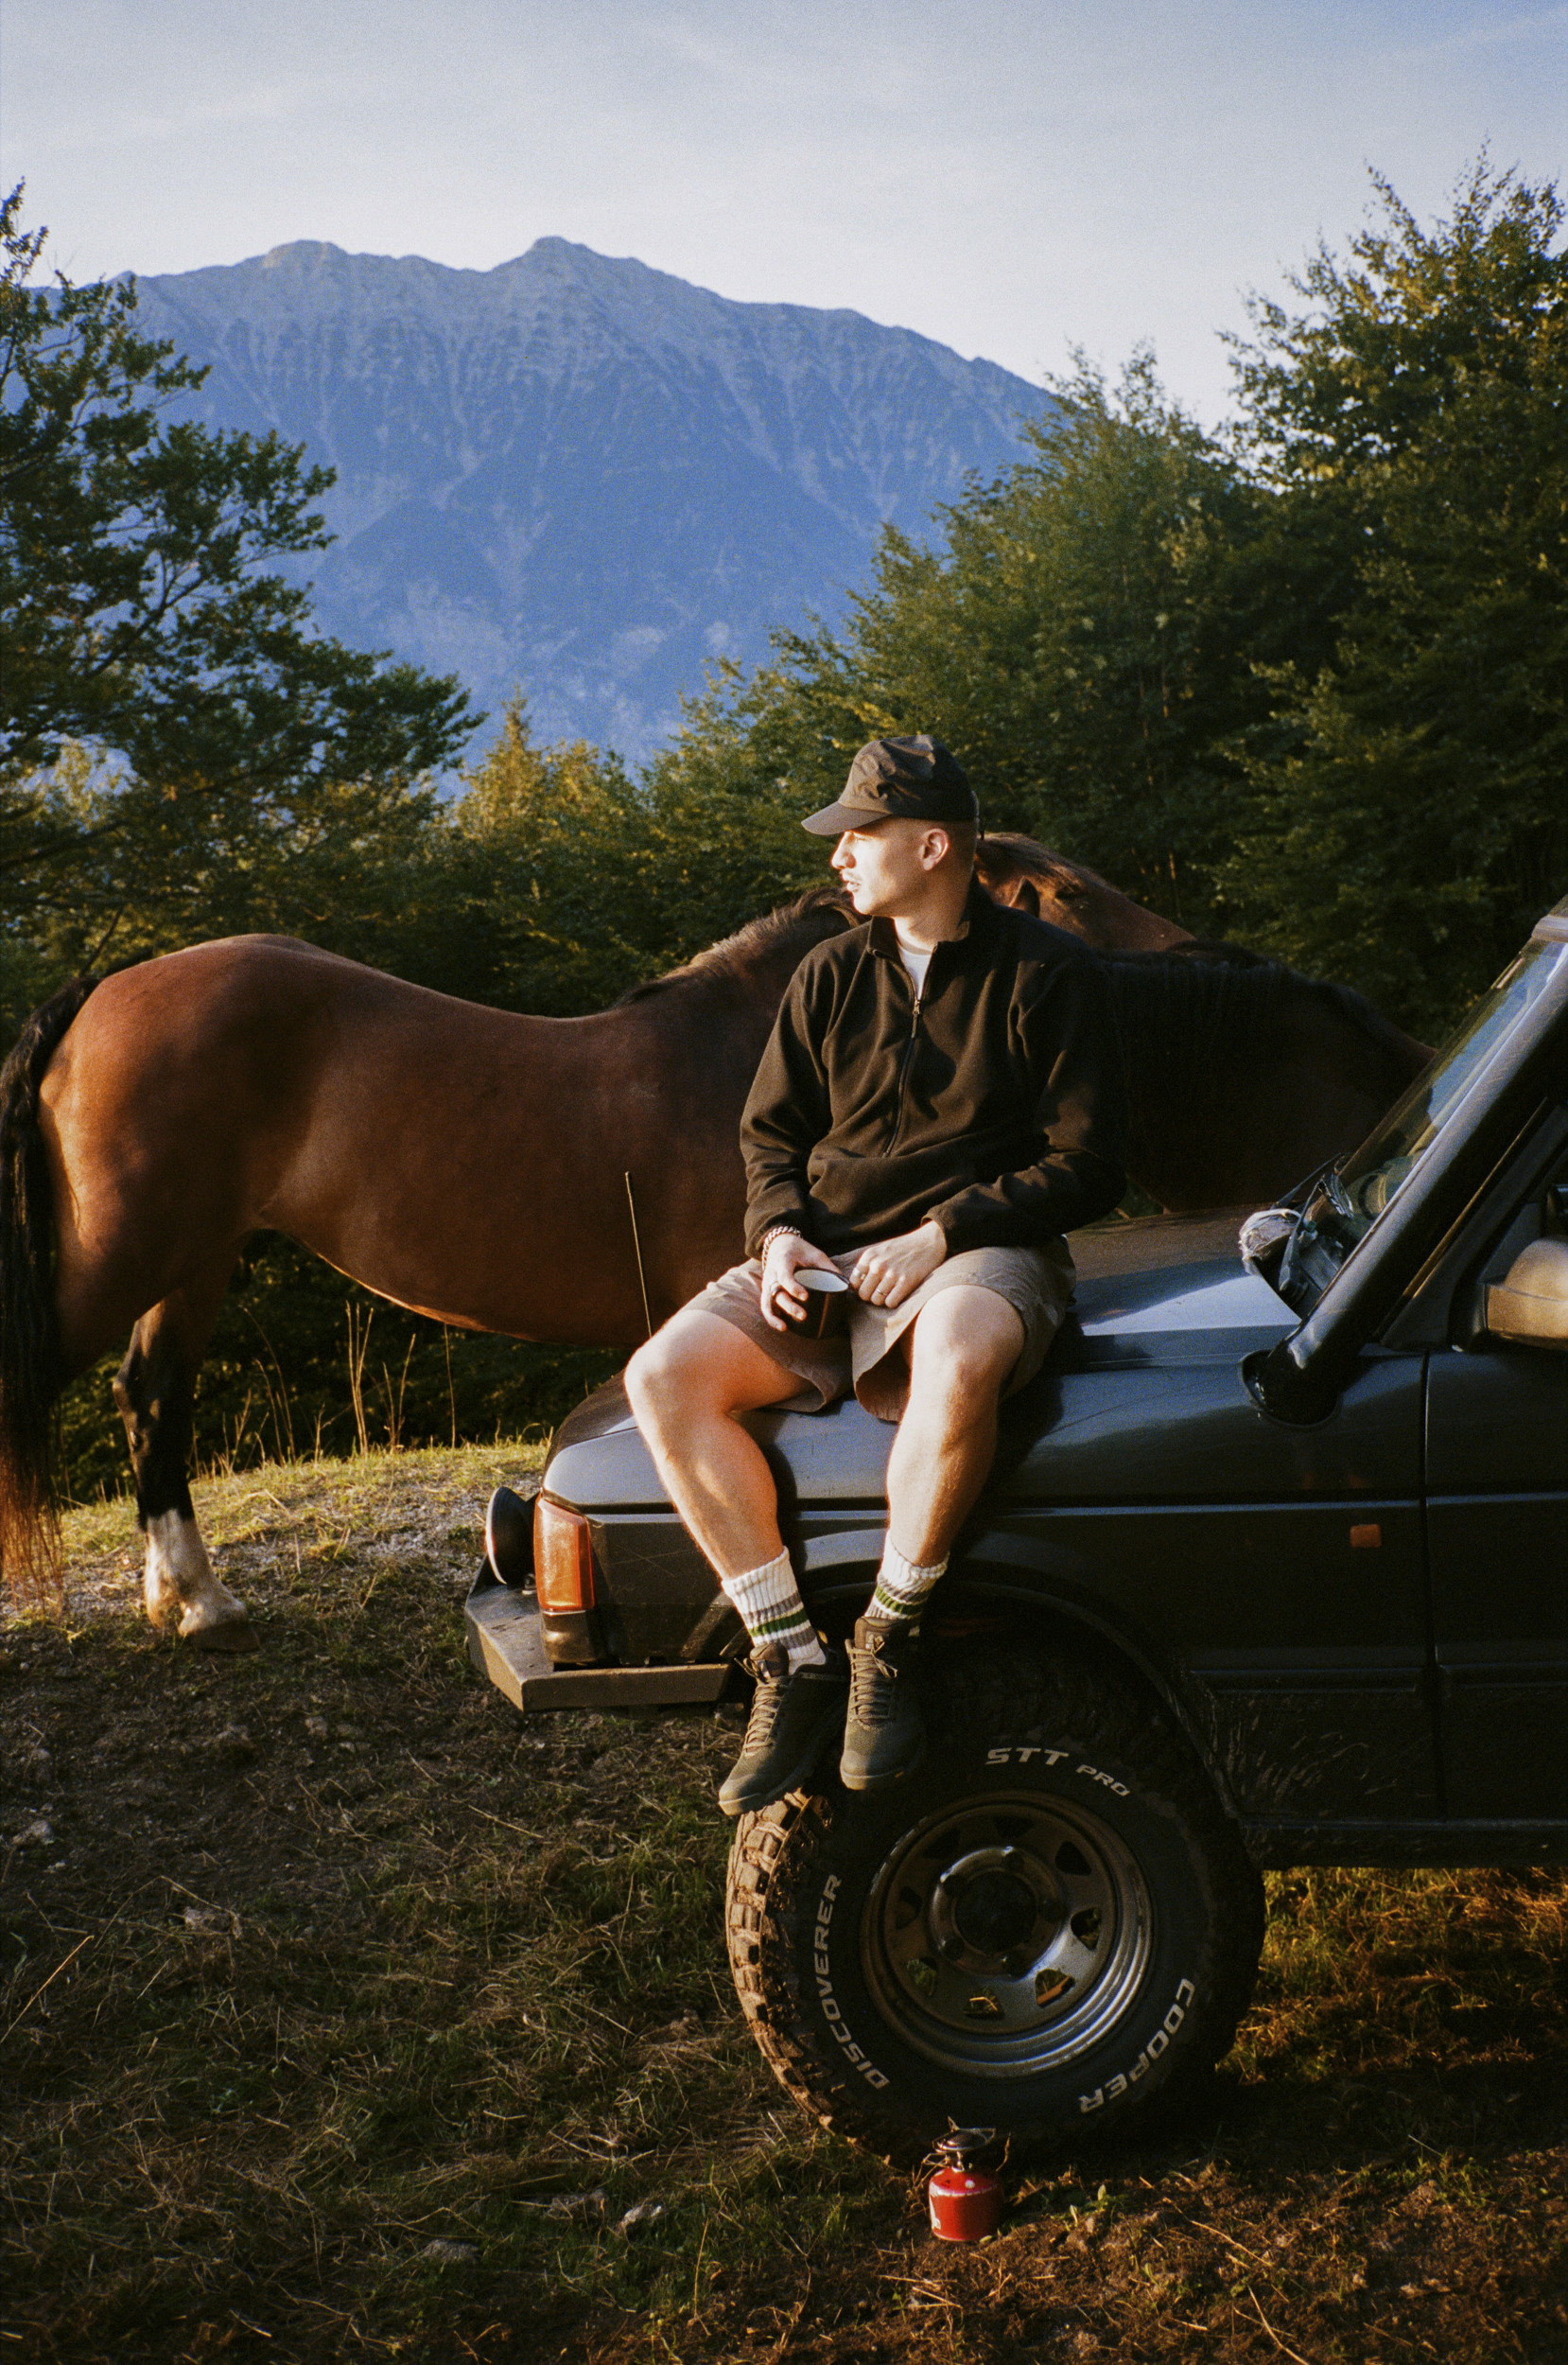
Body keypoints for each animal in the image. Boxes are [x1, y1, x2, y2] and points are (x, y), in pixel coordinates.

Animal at [0, 859, 1428, 1651]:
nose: (1187, 943)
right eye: (1070, 889)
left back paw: (192, 1601)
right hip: (128, 1257)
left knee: (151, 1399)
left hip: (193, 1262)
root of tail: (110, 987)